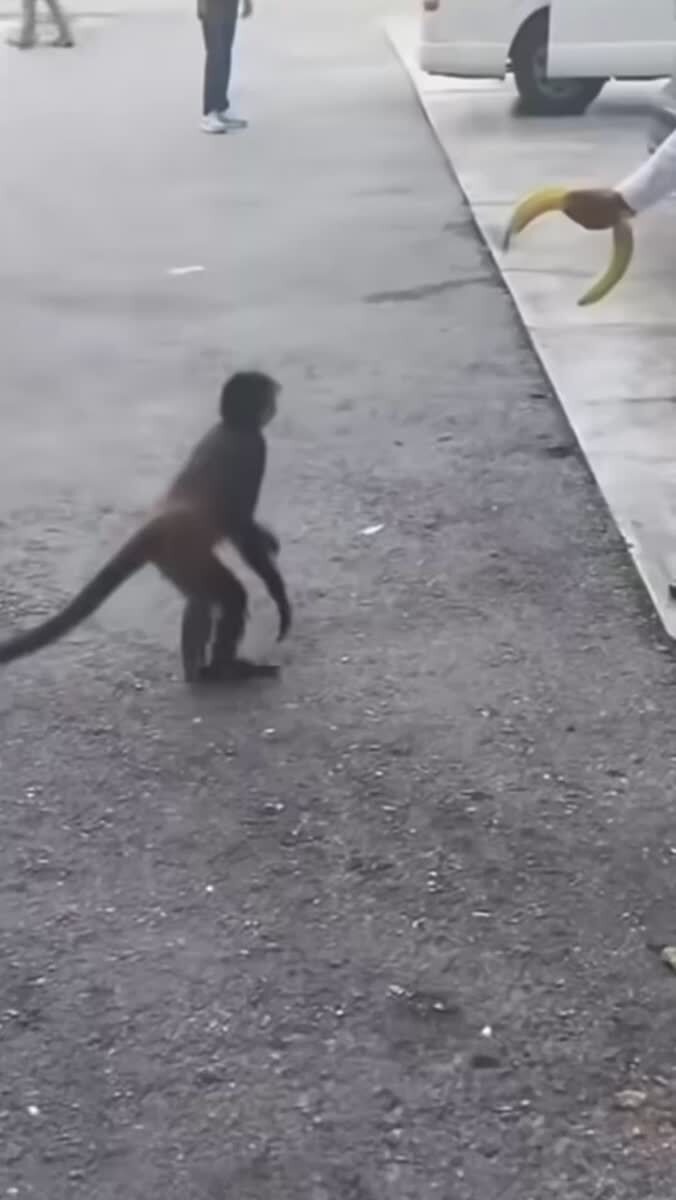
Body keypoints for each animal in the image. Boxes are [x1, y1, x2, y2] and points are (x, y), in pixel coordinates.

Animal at [0, 370, 291, 682]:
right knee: (231, 597)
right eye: (268, 394)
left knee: (201, 598)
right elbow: (241, 528)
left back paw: (199, 672)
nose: (274, 402)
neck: (231, 425)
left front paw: (268, 540)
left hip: (177, 561)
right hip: (182, 552)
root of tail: (157, 524)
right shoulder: (254, 447)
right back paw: (224, 669)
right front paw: (279, 596)